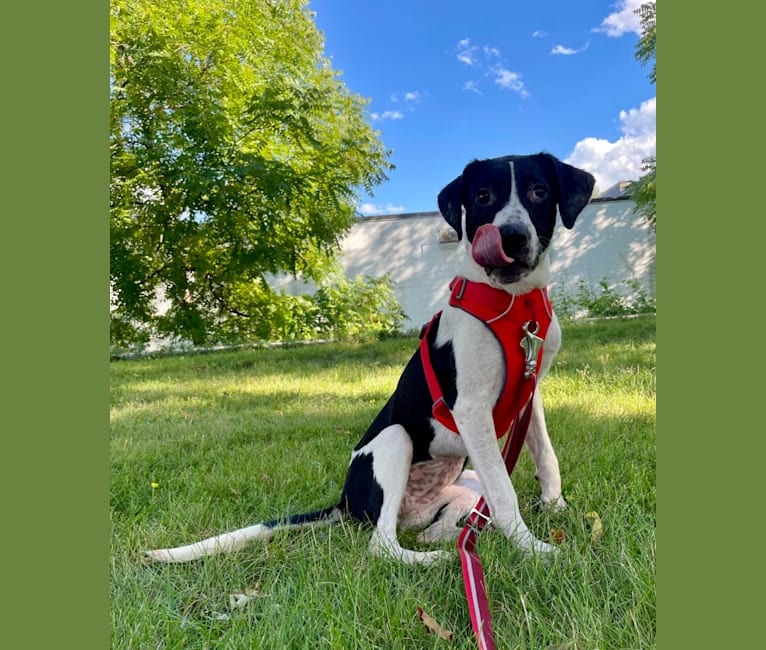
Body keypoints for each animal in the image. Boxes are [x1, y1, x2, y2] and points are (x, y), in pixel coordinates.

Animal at [146, 152, 600, 560]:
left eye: (540, 191)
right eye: (484, 196)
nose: (511, 237)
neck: (516, 304)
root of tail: (345, 502)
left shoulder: (529, 394)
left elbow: (546, 457)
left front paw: (556, 509)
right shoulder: (472, 409)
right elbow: (505, 494)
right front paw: (534, 550)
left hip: (467, 481)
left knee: (447, 519)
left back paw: (448, 535)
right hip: (396, 440)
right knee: (381, 544)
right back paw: (434, 558)